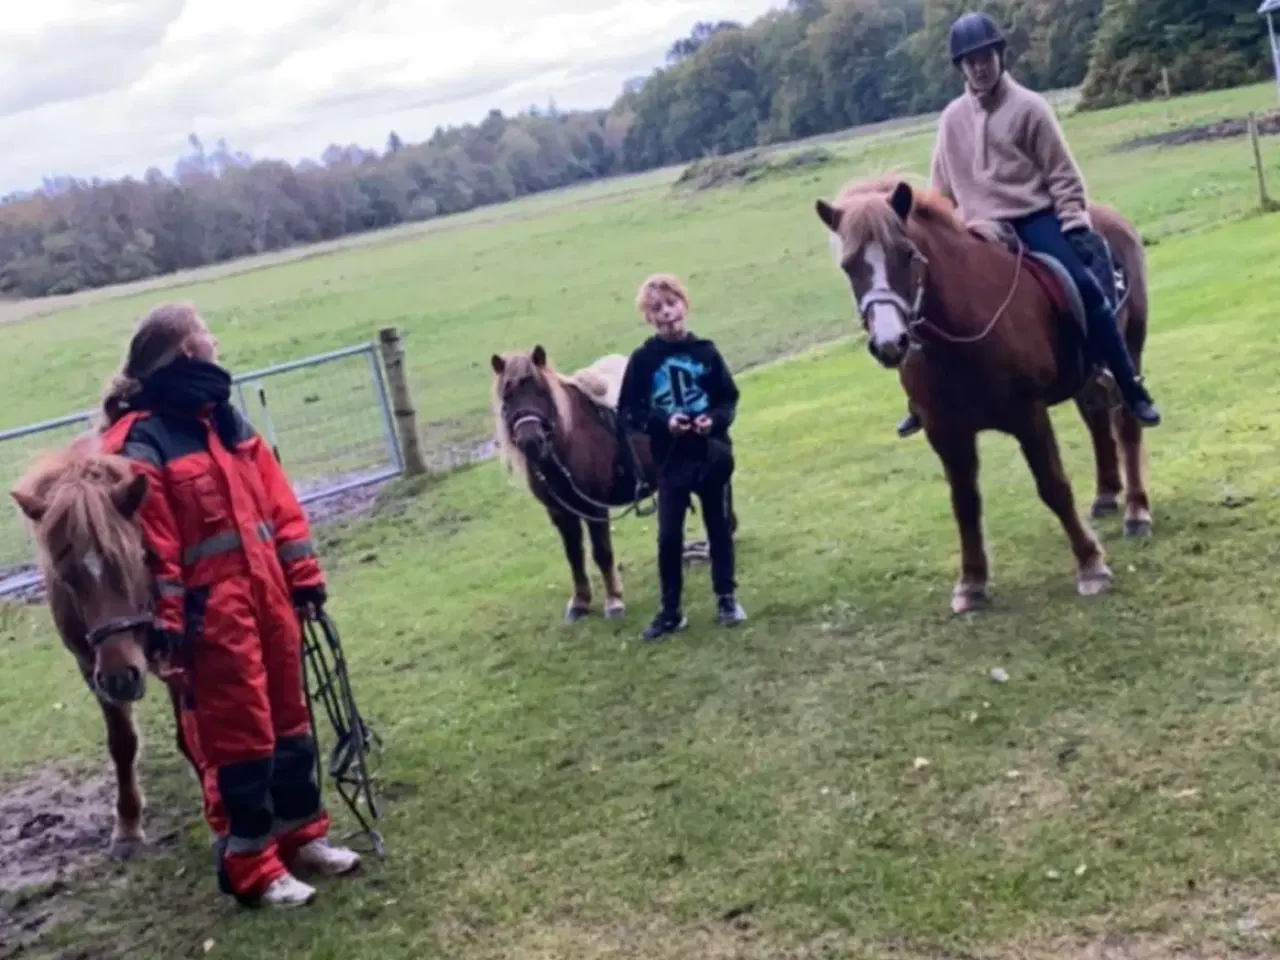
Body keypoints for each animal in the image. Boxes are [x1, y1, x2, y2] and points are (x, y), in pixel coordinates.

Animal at [9, 437, 191, 860]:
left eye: (137, 557)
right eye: (65, 576)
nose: (121, 677)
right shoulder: (90, 666)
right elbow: (122, 743)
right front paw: (127, 826)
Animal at [814, 175, 1153, 614]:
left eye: (906, 255)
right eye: (848, 265)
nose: (890, 343)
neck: (962, 331)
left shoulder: (1029, 416)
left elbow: (1053, 486)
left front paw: (1090, 564)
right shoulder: (944, 432)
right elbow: (964, 503)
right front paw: (971, 582)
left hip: (1130, 348)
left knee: (1126, 425)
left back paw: (1136, 511)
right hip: (1086, 378)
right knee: (1096, 419)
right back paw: (1107, 496)